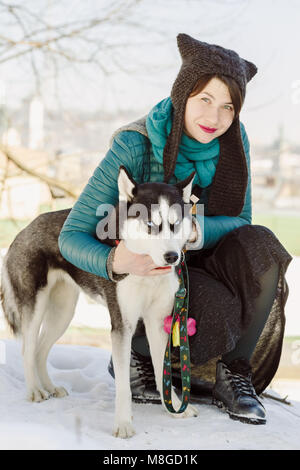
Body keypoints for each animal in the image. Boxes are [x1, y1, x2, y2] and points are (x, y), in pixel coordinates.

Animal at [1, 164, 202, 436]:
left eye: (176, 223)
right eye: (150, 223)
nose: (172, 256)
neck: (146, 271)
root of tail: (24, 229)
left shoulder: (158, 321)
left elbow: (163, 373)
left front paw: (175, 408)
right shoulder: (122, 326)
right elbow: (123, 386)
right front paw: (124, 423)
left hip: (63, 313)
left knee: (41, 350)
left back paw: (50, 387)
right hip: (34, 308)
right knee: (28, 349)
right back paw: (34, 390)